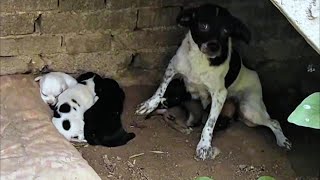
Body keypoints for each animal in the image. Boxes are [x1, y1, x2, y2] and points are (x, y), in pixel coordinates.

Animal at [136, 3, 292, 160]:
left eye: (226, 31)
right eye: (203, 26)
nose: (214, 46)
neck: (199, 59)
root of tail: (254, 73)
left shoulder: (219, 94)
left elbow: (210, 123)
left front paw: (204, 145)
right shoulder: (172, 67)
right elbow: (161, 89)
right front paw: (149, 104)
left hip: (249, 109)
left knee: (274, 122)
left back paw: (282, 140)